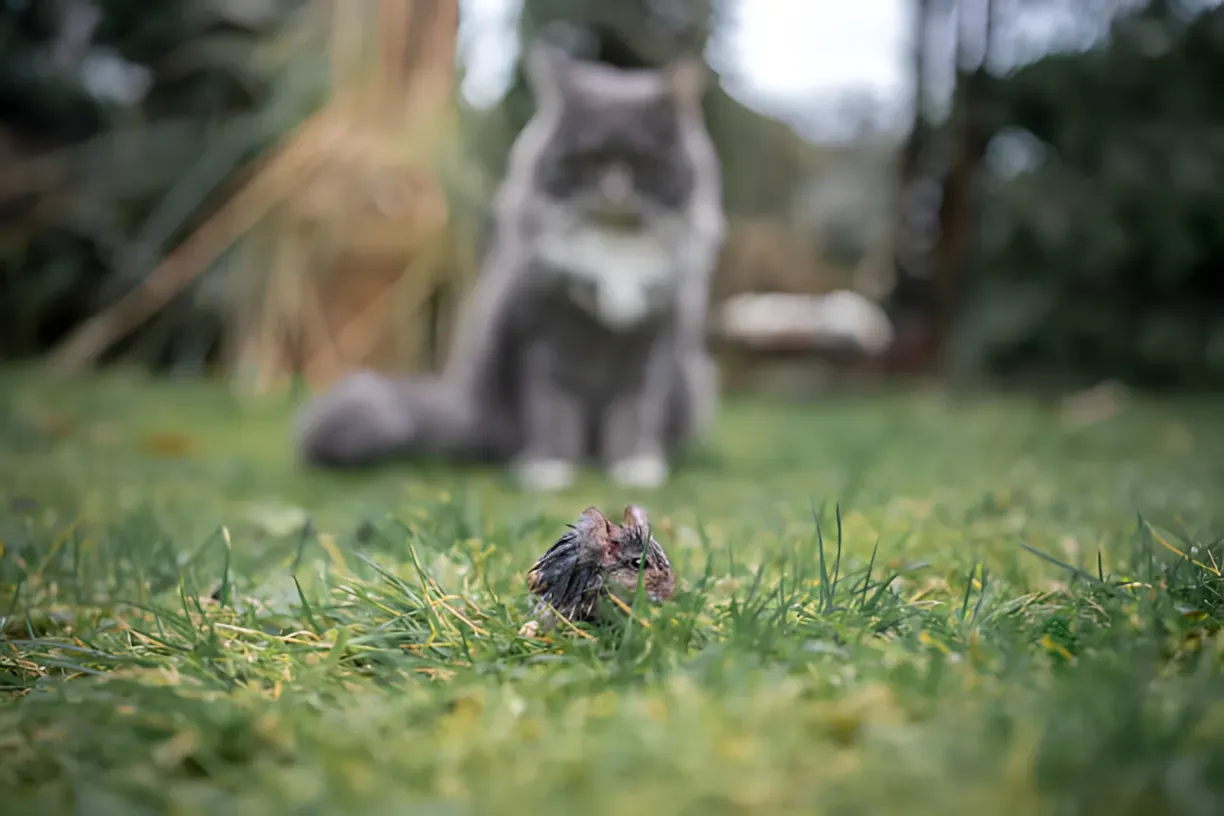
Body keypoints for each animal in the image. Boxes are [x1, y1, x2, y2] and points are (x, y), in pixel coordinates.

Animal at [290, 41, 719, 491]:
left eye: (642, 161)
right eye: (586, 159)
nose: (613, 191)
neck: (614, 249)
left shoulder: (655, 346)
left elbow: (636, 412)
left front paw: (635, 467)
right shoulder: (540, 338)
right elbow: (552, 412)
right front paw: (550, 468)